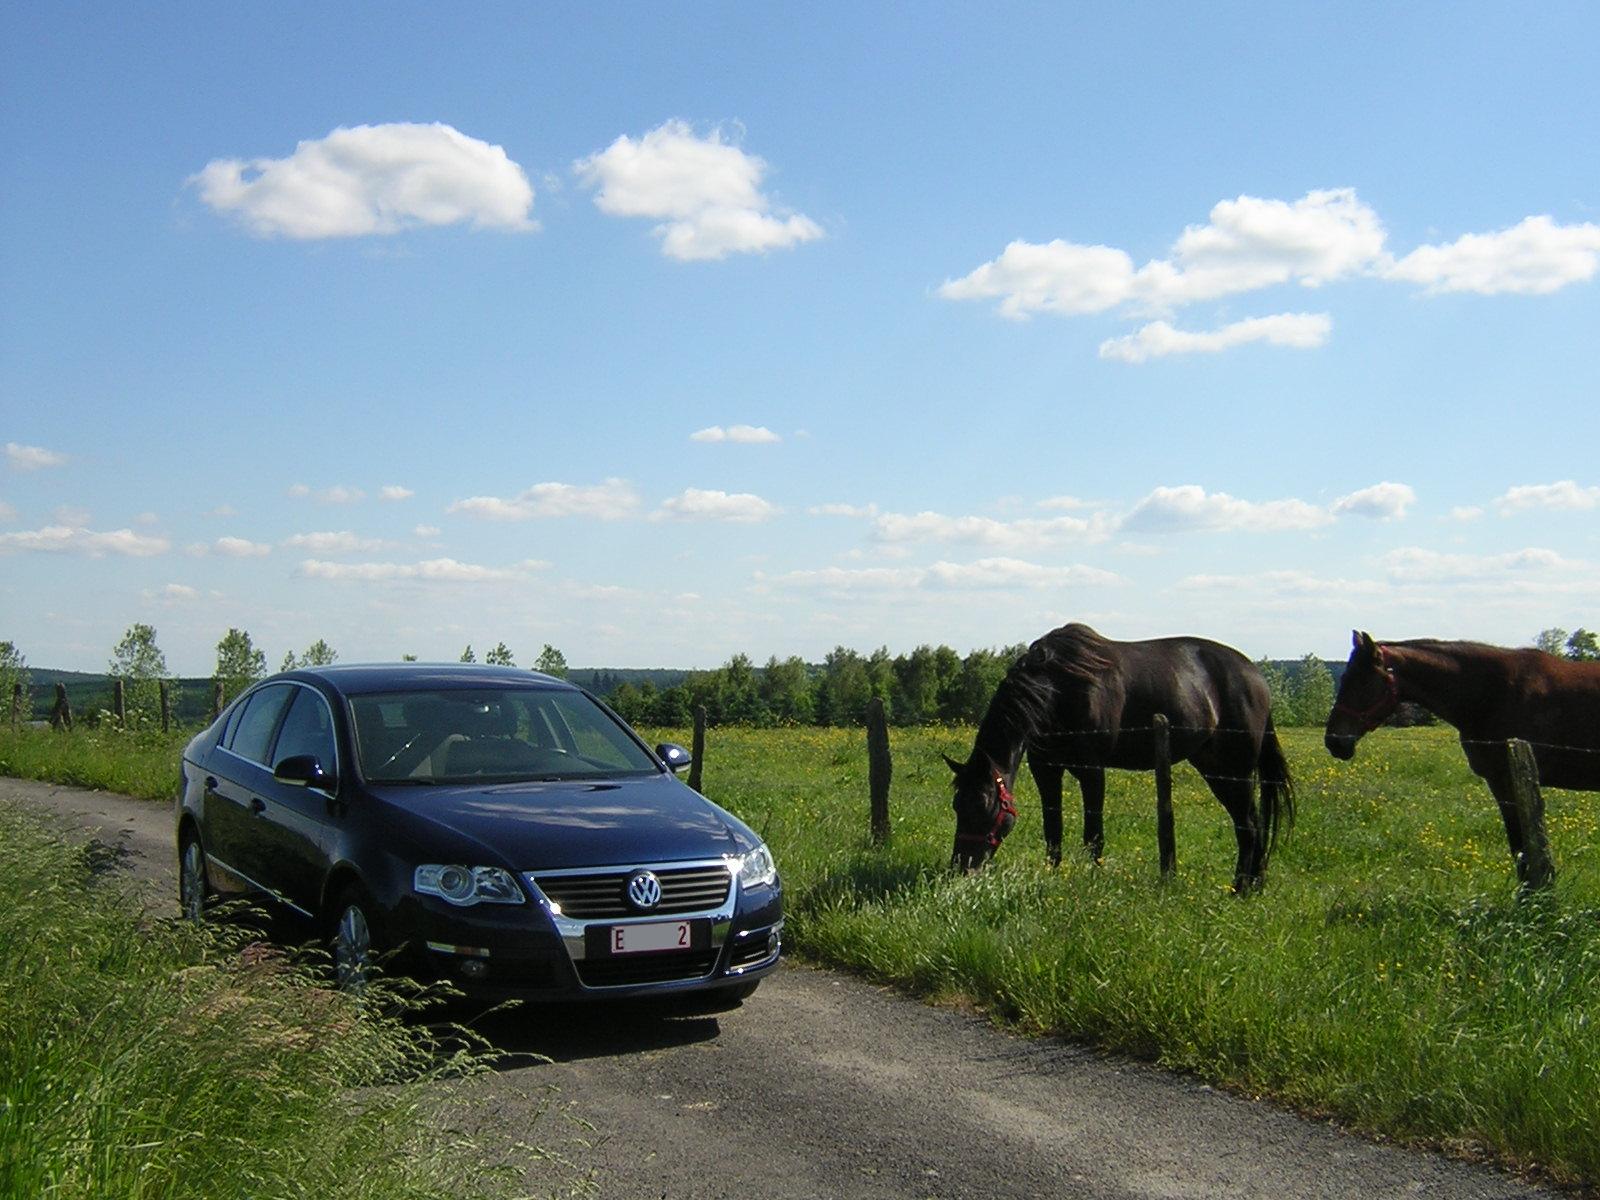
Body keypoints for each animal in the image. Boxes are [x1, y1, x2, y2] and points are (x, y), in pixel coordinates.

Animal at [940, 630, 1292, 896]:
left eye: (985, 808)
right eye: (957, 806)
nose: (961, 868)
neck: (1059, 688)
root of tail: (1256, 678)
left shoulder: (1092, 770)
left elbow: (1093, 833)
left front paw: (1091, 880)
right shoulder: (1046, 769)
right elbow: (1053, 830)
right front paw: (1054, 874)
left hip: (1234, 770)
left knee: (1249, 826)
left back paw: (1240, 890)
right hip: (1215, 769)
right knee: (1252, 824)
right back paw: (1252, 886)